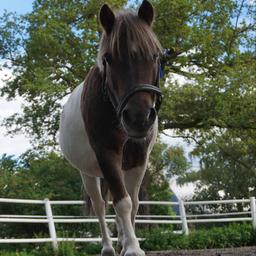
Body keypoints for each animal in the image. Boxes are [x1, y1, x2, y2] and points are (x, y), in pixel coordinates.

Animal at [59, 1, 162, 255]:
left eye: (155, 55)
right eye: (109, 57)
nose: (138, 118)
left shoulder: (138, 159)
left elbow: (133, 203)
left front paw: (129, 244)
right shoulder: (107, 154)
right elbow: (122, 203)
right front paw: (133, 247)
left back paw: (120, 241)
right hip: (87, 173)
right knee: (100, 206)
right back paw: (107, 247)